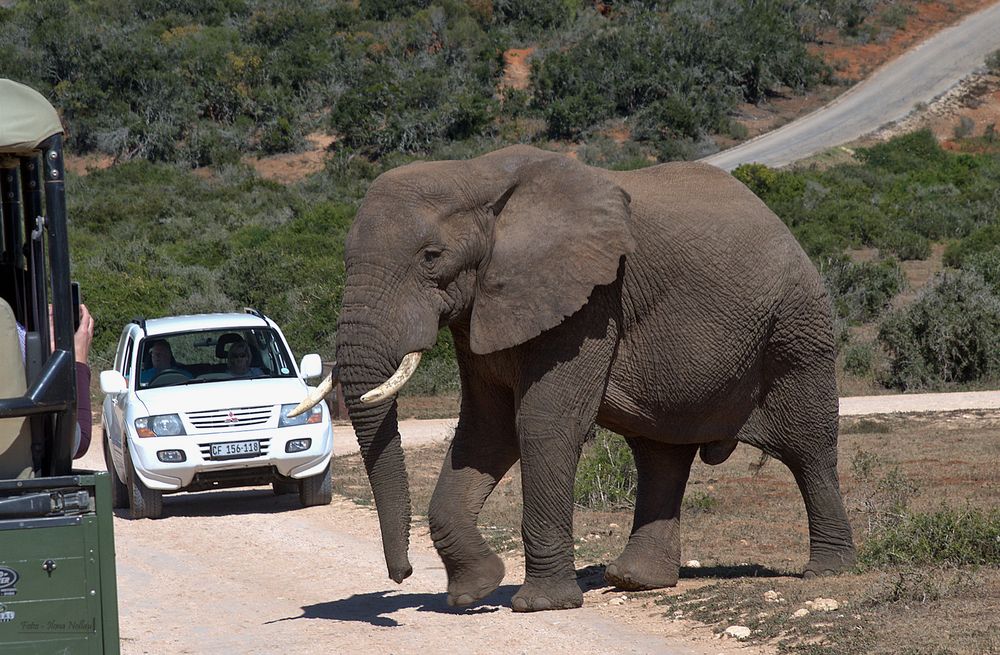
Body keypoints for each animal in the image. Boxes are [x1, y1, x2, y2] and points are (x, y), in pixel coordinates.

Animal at [292, 145, 856, 616]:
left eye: (431, 256)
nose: (401, 574)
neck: (478, 175)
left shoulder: (590, 301)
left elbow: (543, 424)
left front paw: (539, 605)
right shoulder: (485, 306)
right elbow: (485, 431)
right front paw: (474, 592)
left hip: (796, 327)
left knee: (808, 449)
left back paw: (828, 572)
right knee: (660, 454)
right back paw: (635, 581)